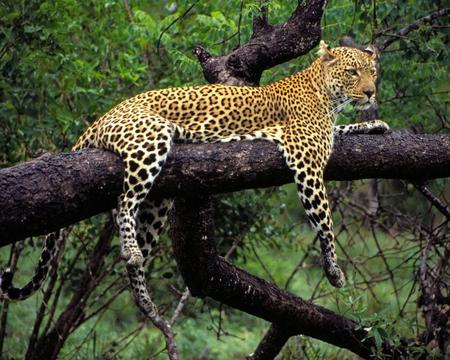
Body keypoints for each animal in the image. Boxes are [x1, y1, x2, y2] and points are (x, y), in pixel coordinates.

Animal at [0, 40, 388, 320]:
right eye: (353, 72)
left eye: (373, 73)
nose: (370, 92)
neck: (327, 95)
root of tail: (102, 117)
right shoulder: (306, 158)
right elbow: (325, 222)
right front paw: (334, 270)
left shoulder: (323, 137)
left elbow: (345, 130)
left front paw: (375, 124)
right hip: (150, 139)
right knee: (124, 201)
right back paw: (130, 250)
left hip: (158, 202)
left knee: (138, 246)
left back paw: (144, 300)